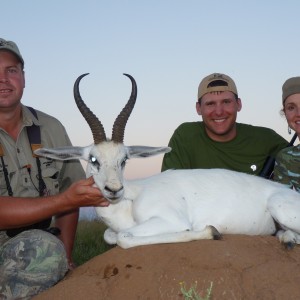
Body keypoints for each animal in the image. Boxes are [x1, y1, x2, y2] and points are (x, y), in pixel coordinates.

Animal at [35, 74, 300, 250]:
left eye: (124, 159)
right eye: (93, 159)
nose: (114, 189)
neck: (131, 199)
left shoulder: (169, 220)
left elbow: (123, 238)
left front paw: (209, 232)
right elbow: (111, 236)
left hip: (279, 206)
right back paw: (286, 238)